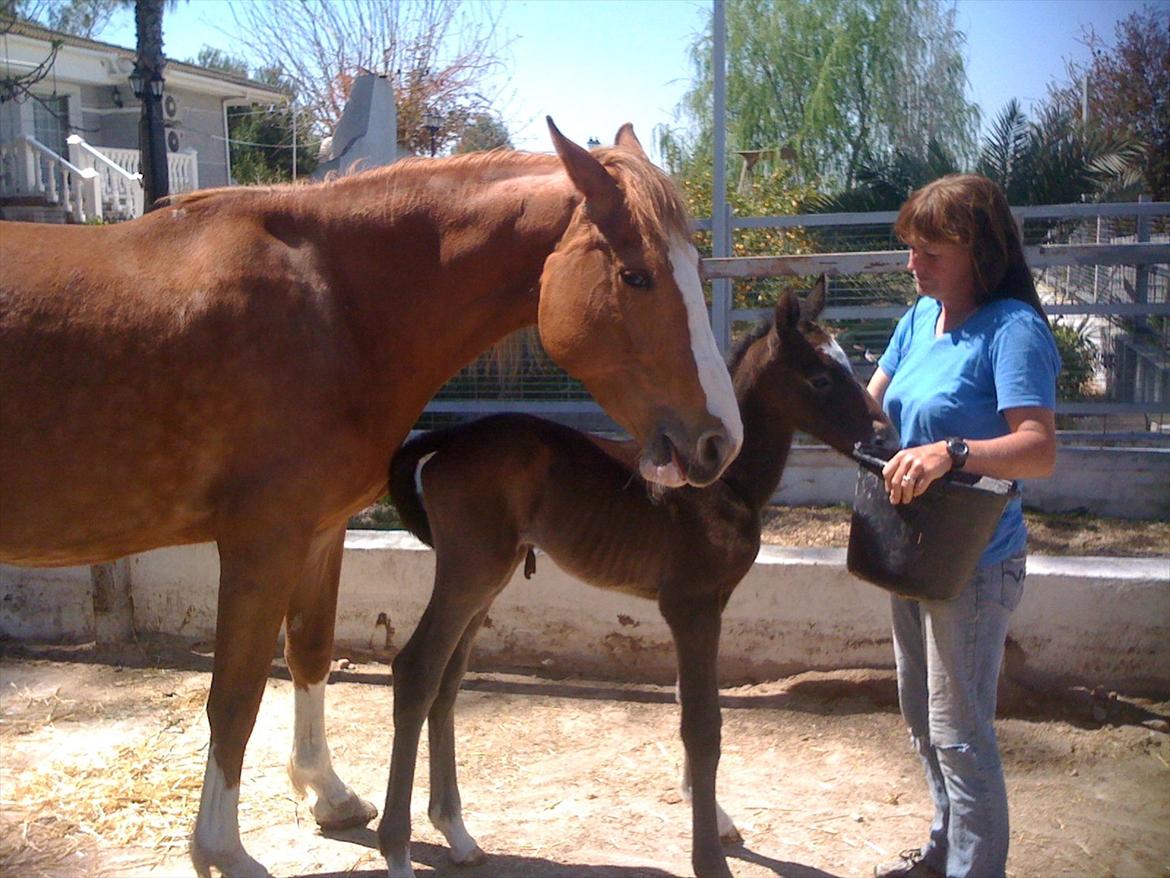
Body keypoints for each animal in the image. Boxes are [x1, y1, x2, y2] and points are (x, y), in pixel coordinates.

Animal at [0, 122, 744, 878]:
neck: (333, 307)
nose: (721, 441)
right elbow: (235, 697)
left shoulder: (319, 531)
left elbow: (310, 654)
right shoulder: (262, 542)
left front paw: (326, 793)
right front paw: (222, 849)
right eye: (636, 276)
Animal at [379, 279, 898, 878]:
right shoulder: (690, 605)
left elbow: (685, 702)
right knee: (417, 670)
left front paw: (714, 815)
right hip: (470, 570)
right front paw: (710, 857)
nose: (885, 440)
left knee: (447, 680)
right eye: (820, 377)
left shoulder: (710, 606)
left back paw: (458, 835)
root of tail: (448, 440)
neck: (721, 482)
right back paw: (397, 850)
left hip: (490, 577)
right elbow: (703, 723)